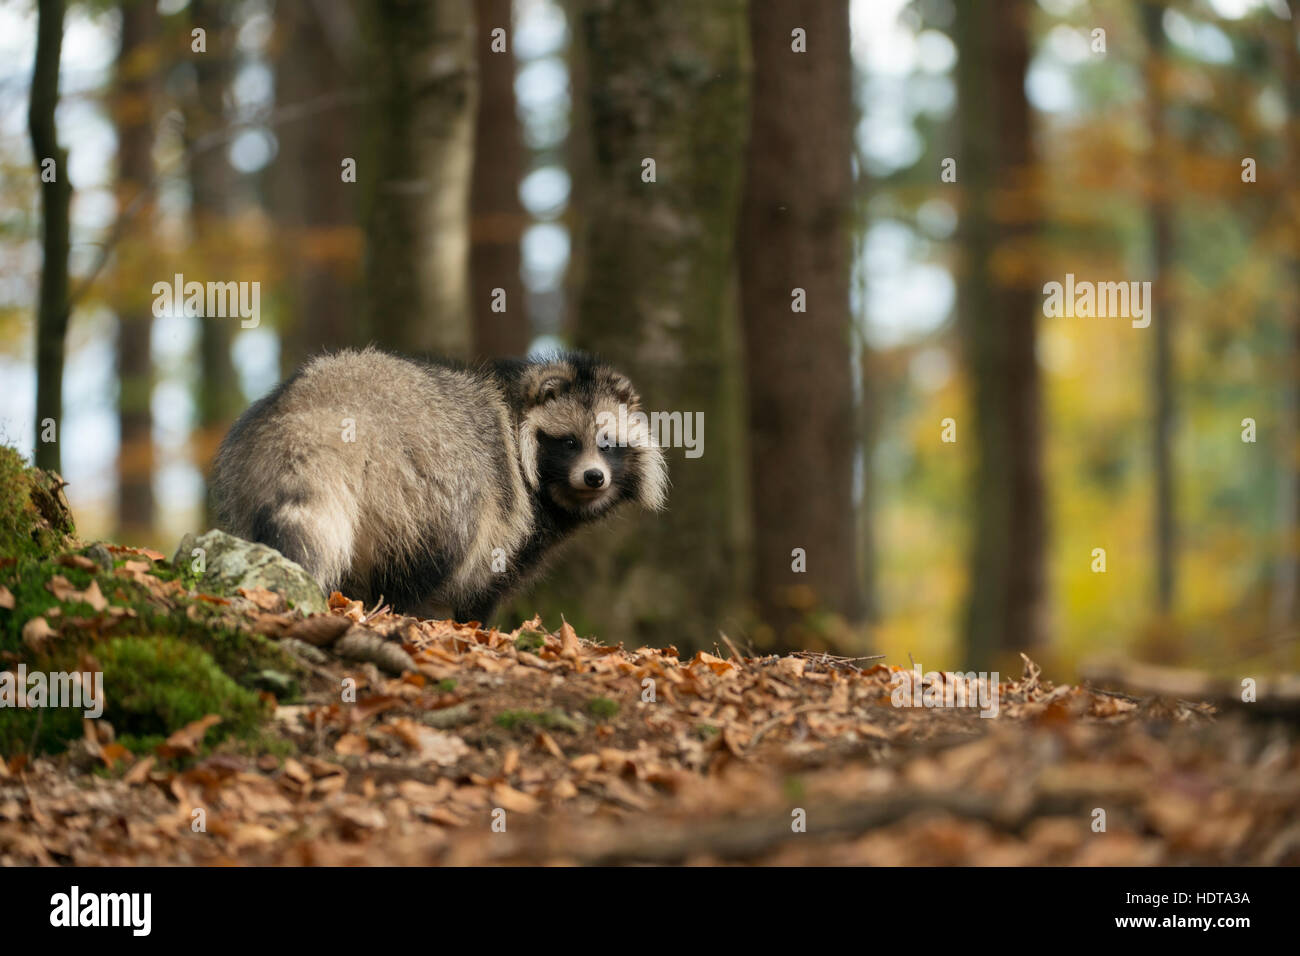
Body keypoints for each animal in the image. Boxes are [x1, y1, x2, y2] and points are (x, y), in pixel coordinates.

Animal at [210, 348, 670, 624]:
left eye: (607, 443)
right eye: (570, 442)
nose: (594, 477)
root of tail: (321, 406)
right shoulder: (512, 512)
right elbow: (485, 582)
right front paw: (475, 625)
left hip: (249, 465)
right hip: (426, 482)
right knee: (437, 552)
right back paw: (403, 609)